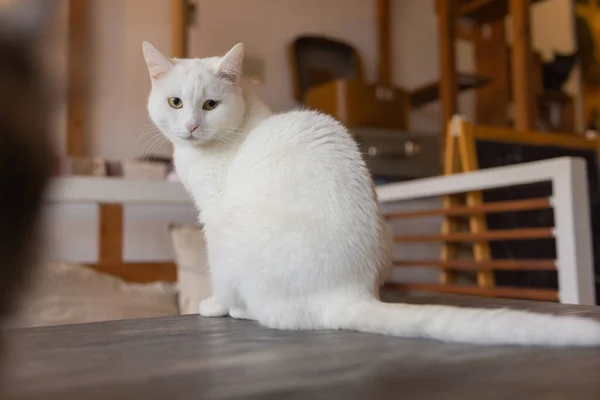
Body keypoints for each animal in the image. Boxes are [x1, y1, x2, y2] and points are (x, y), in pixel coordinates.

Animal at [144, 42, 600, 346]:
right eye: (175, 102)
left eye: (210, 105)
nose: (190, 127)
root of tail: (350, 289)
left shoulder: (213, 219)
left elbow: (217, 281)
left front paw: (212, 305)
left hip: (235, 237)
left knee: (270, 311)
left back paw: (238, 308)